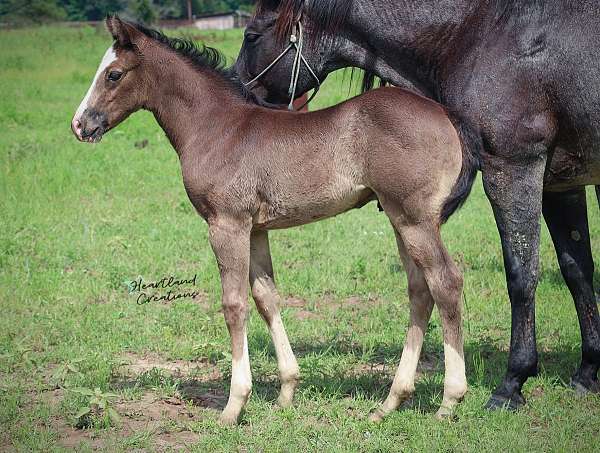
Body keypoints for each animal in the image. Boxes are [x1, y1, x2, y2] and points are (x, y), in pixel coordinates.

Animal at [70, 15, 476, 422]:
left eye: (113, 74)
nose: (79, 125)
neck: (218, 128)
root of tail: (446, 116)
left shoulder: (226, 225)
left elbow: (234, 305)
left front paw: (234, 406)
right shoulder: (255, 230)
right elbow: (267, 298)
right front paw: (287, 391)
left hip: (415, 219)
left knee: (445, 282)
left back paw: (449, 400)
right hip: (398, 217)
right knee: (420, 290)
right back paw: (391, 401)